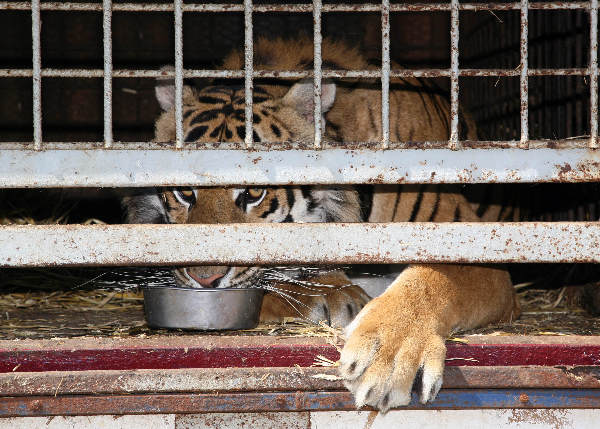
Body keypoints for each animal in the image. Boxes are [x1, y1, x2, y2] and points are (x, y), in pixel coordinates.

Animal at [120, 37, 596, 412]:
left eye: (253, 193)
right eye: (185, 192)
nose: (204, 279)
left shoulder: (479, 253)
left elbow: (431, 281)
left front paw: (390, 354)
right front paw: (334, 293)